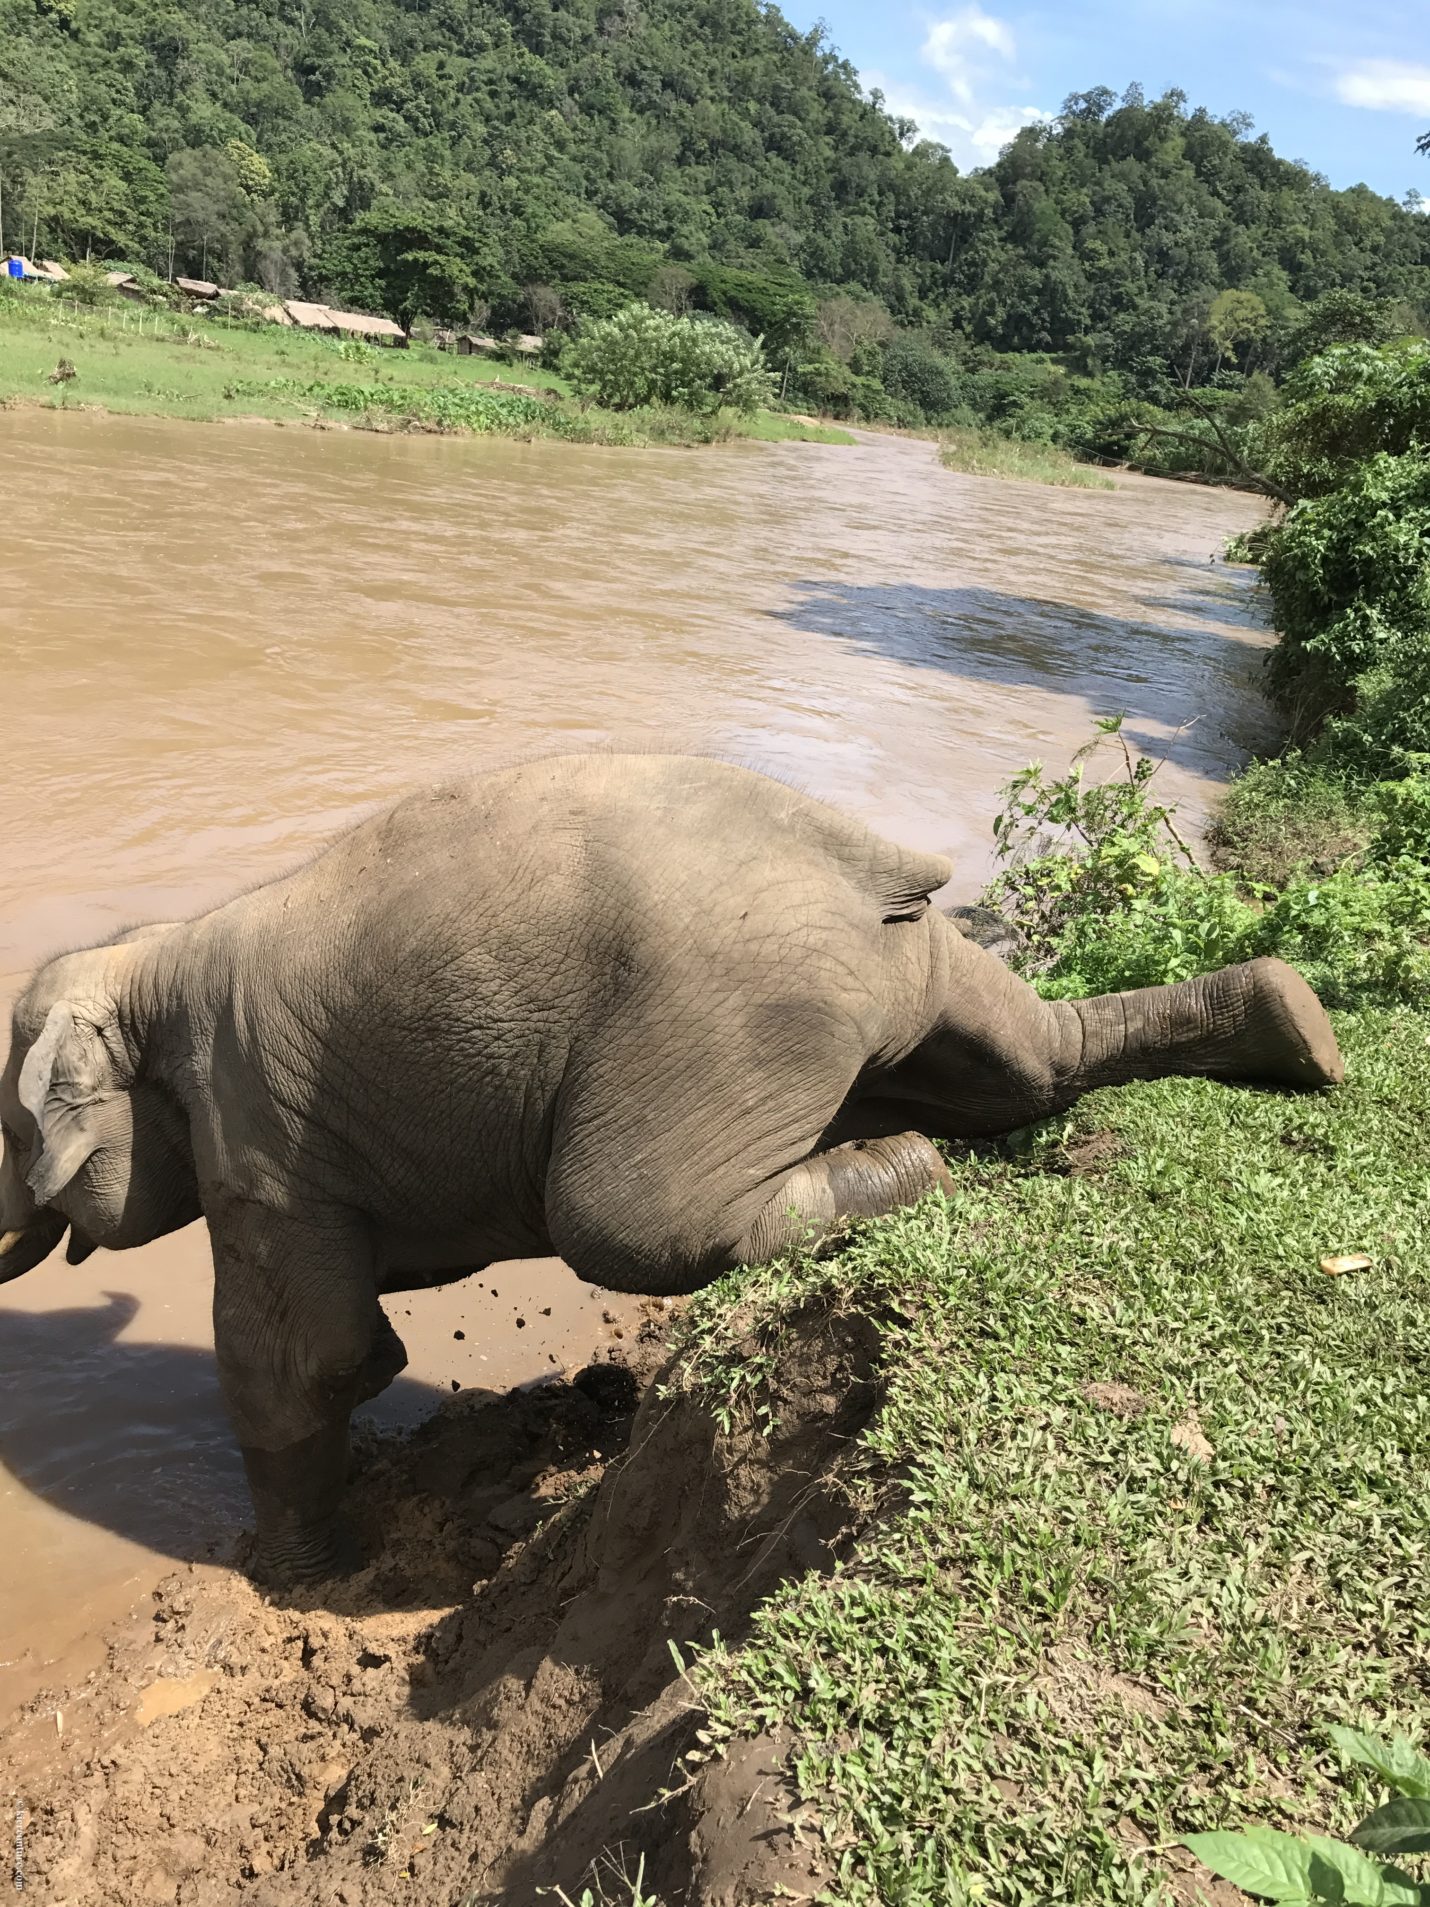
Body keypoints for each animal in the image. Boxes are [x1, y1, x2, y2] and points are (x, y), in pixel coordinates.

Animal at [0, 751, 1342, 1571]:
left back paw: (907, 1165)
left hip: (729, 1006)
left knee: (621, 1220)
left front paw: (292, 1573)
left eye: (14, 1130)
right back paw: (1287, 1028)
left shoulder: (261, 1148)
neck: (151, 954)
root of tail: (858, 857)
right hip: (901, 965)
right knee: (1027, 1065)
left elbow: (312, 1358)